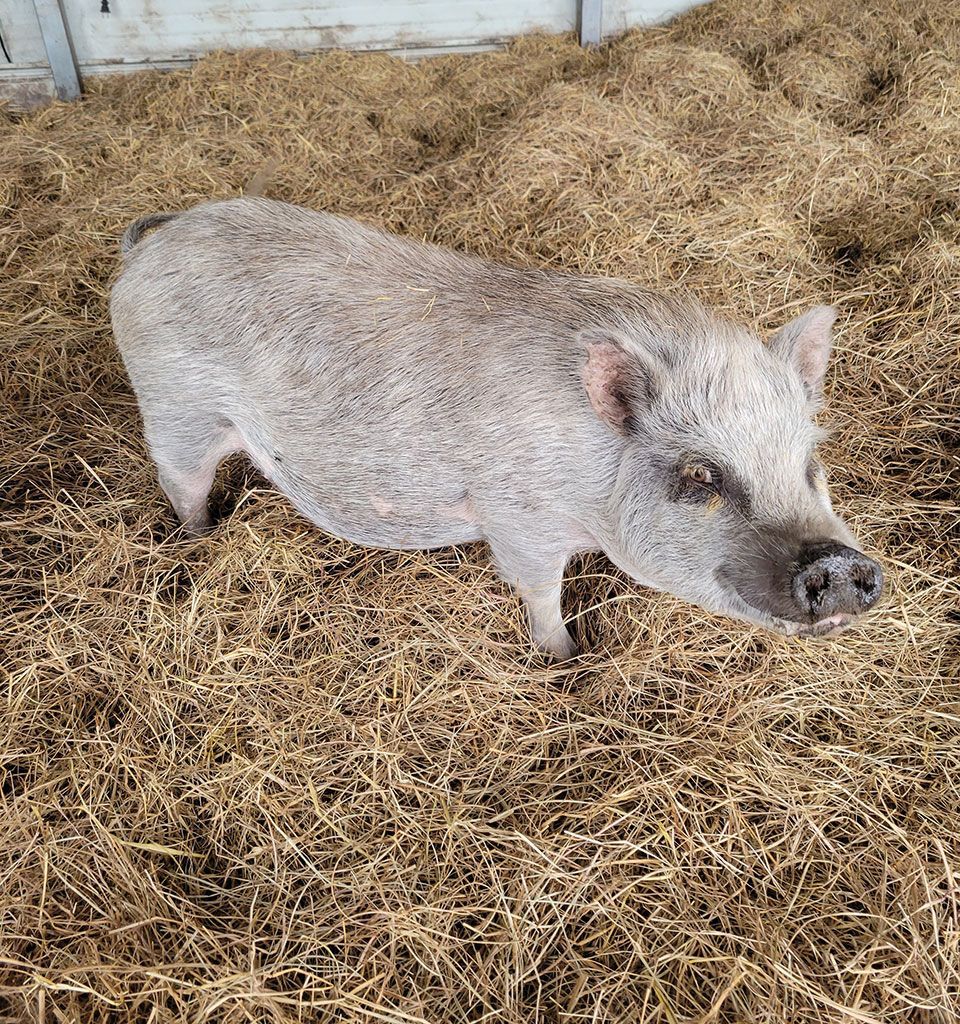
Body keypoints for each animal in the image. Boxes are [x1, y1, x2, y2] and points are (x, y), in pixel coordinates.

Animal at [110, 197, 883, 658]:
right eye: (700, 476)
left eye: (809, 466)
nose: (843, 564)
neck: (589, 489)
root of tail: (153, 242)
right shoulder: (518, 520)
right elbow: (539, 593)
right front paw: (566, 661)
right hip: (175, 408)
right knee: (180, 482)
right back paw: (199, 539)